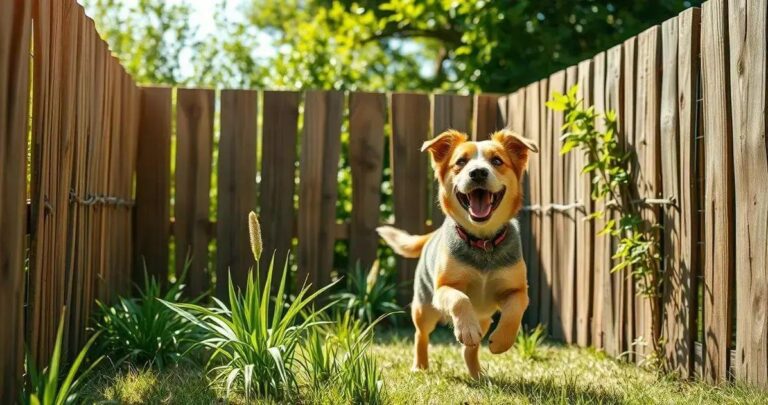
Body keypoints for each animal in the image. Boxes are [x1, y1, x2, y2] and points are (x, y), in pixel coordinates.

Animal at [376, 128, 536, 378]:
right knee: (421, 334)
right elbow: (460, 298)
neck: (483, 242)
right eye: (460, 162)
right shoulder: (443, 289)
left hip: (483, 319)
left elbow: (515, 311)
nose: (478, 172)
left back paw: (477, 373)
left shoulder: (517, 290)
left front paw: (501, 341)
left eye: (497, 161)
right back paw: (421, 364)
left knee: (469, 348)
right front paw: (466, 328)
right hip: (424, 306)